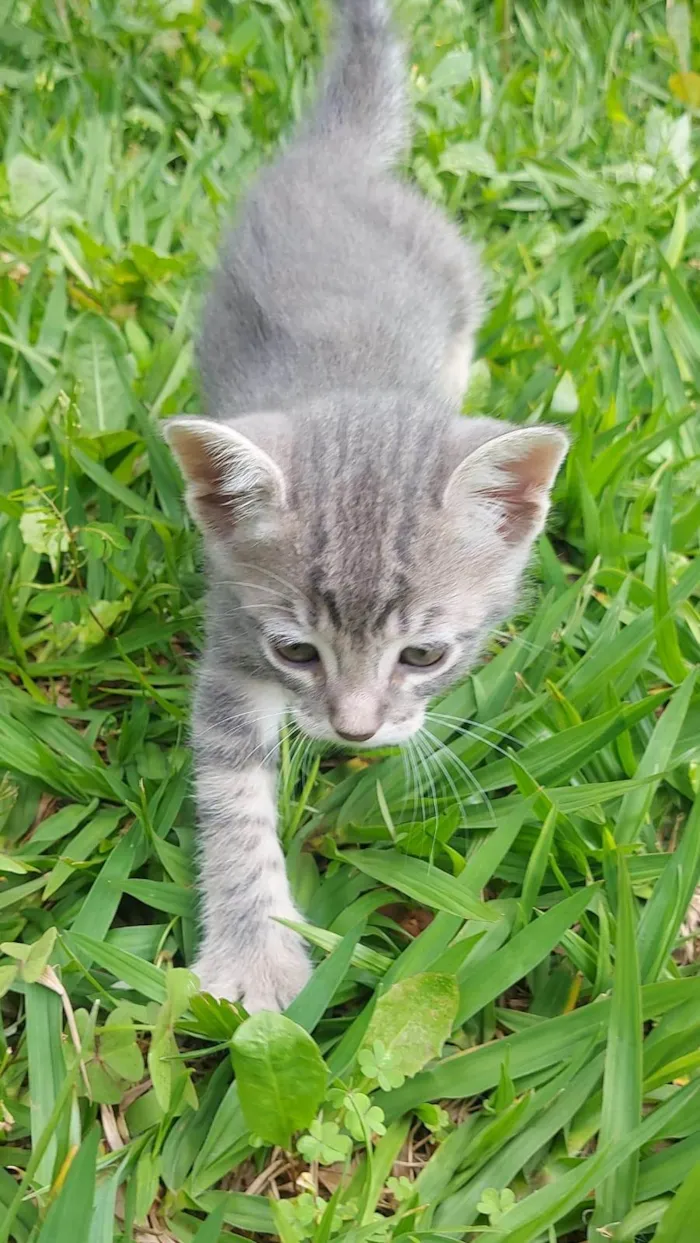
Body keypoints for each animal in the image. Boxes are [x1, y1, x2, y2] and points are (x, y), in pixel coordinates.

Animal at [164, 0, 569, 1009]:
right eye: (296, 651)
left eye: (424, 654)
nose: (355, 728)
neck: (357, 388)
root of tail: (335, 164)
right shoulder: (233, 646)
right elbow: (233, 796)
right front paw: (255, 947)